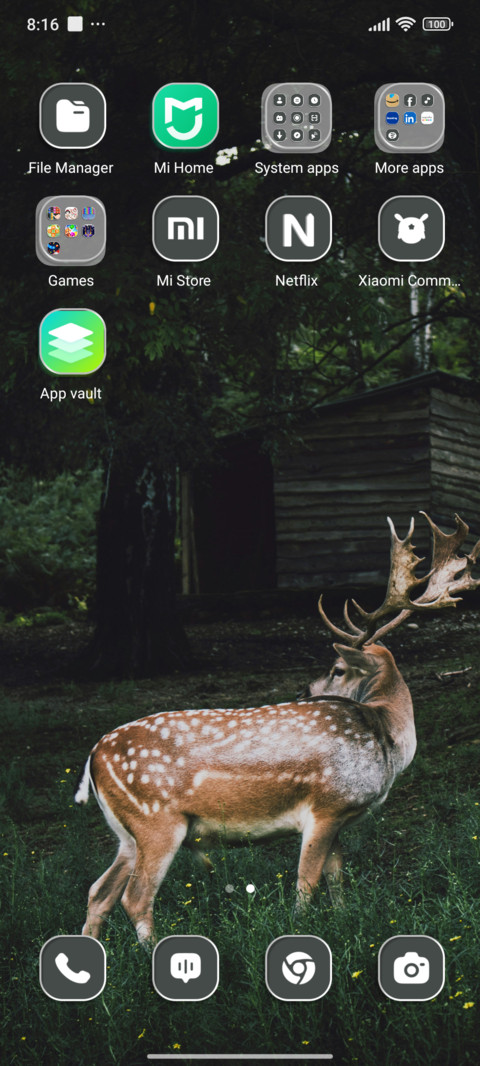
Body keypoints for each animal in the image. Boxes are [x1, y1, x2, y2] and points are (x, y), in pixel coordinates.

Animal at [75, 512, 480, 945]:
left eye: (337, 669)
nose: (305, 691)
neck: (386, 739)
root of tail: (93, 757)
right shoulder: (327, 804)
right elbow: (307, 881)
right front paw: (300, 929)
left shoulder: (339, 817)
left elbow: (336, 877)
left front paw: (343, 922)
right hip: (156, 821)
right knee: (135, 897)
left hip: (127, 833)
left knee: (98, 892)